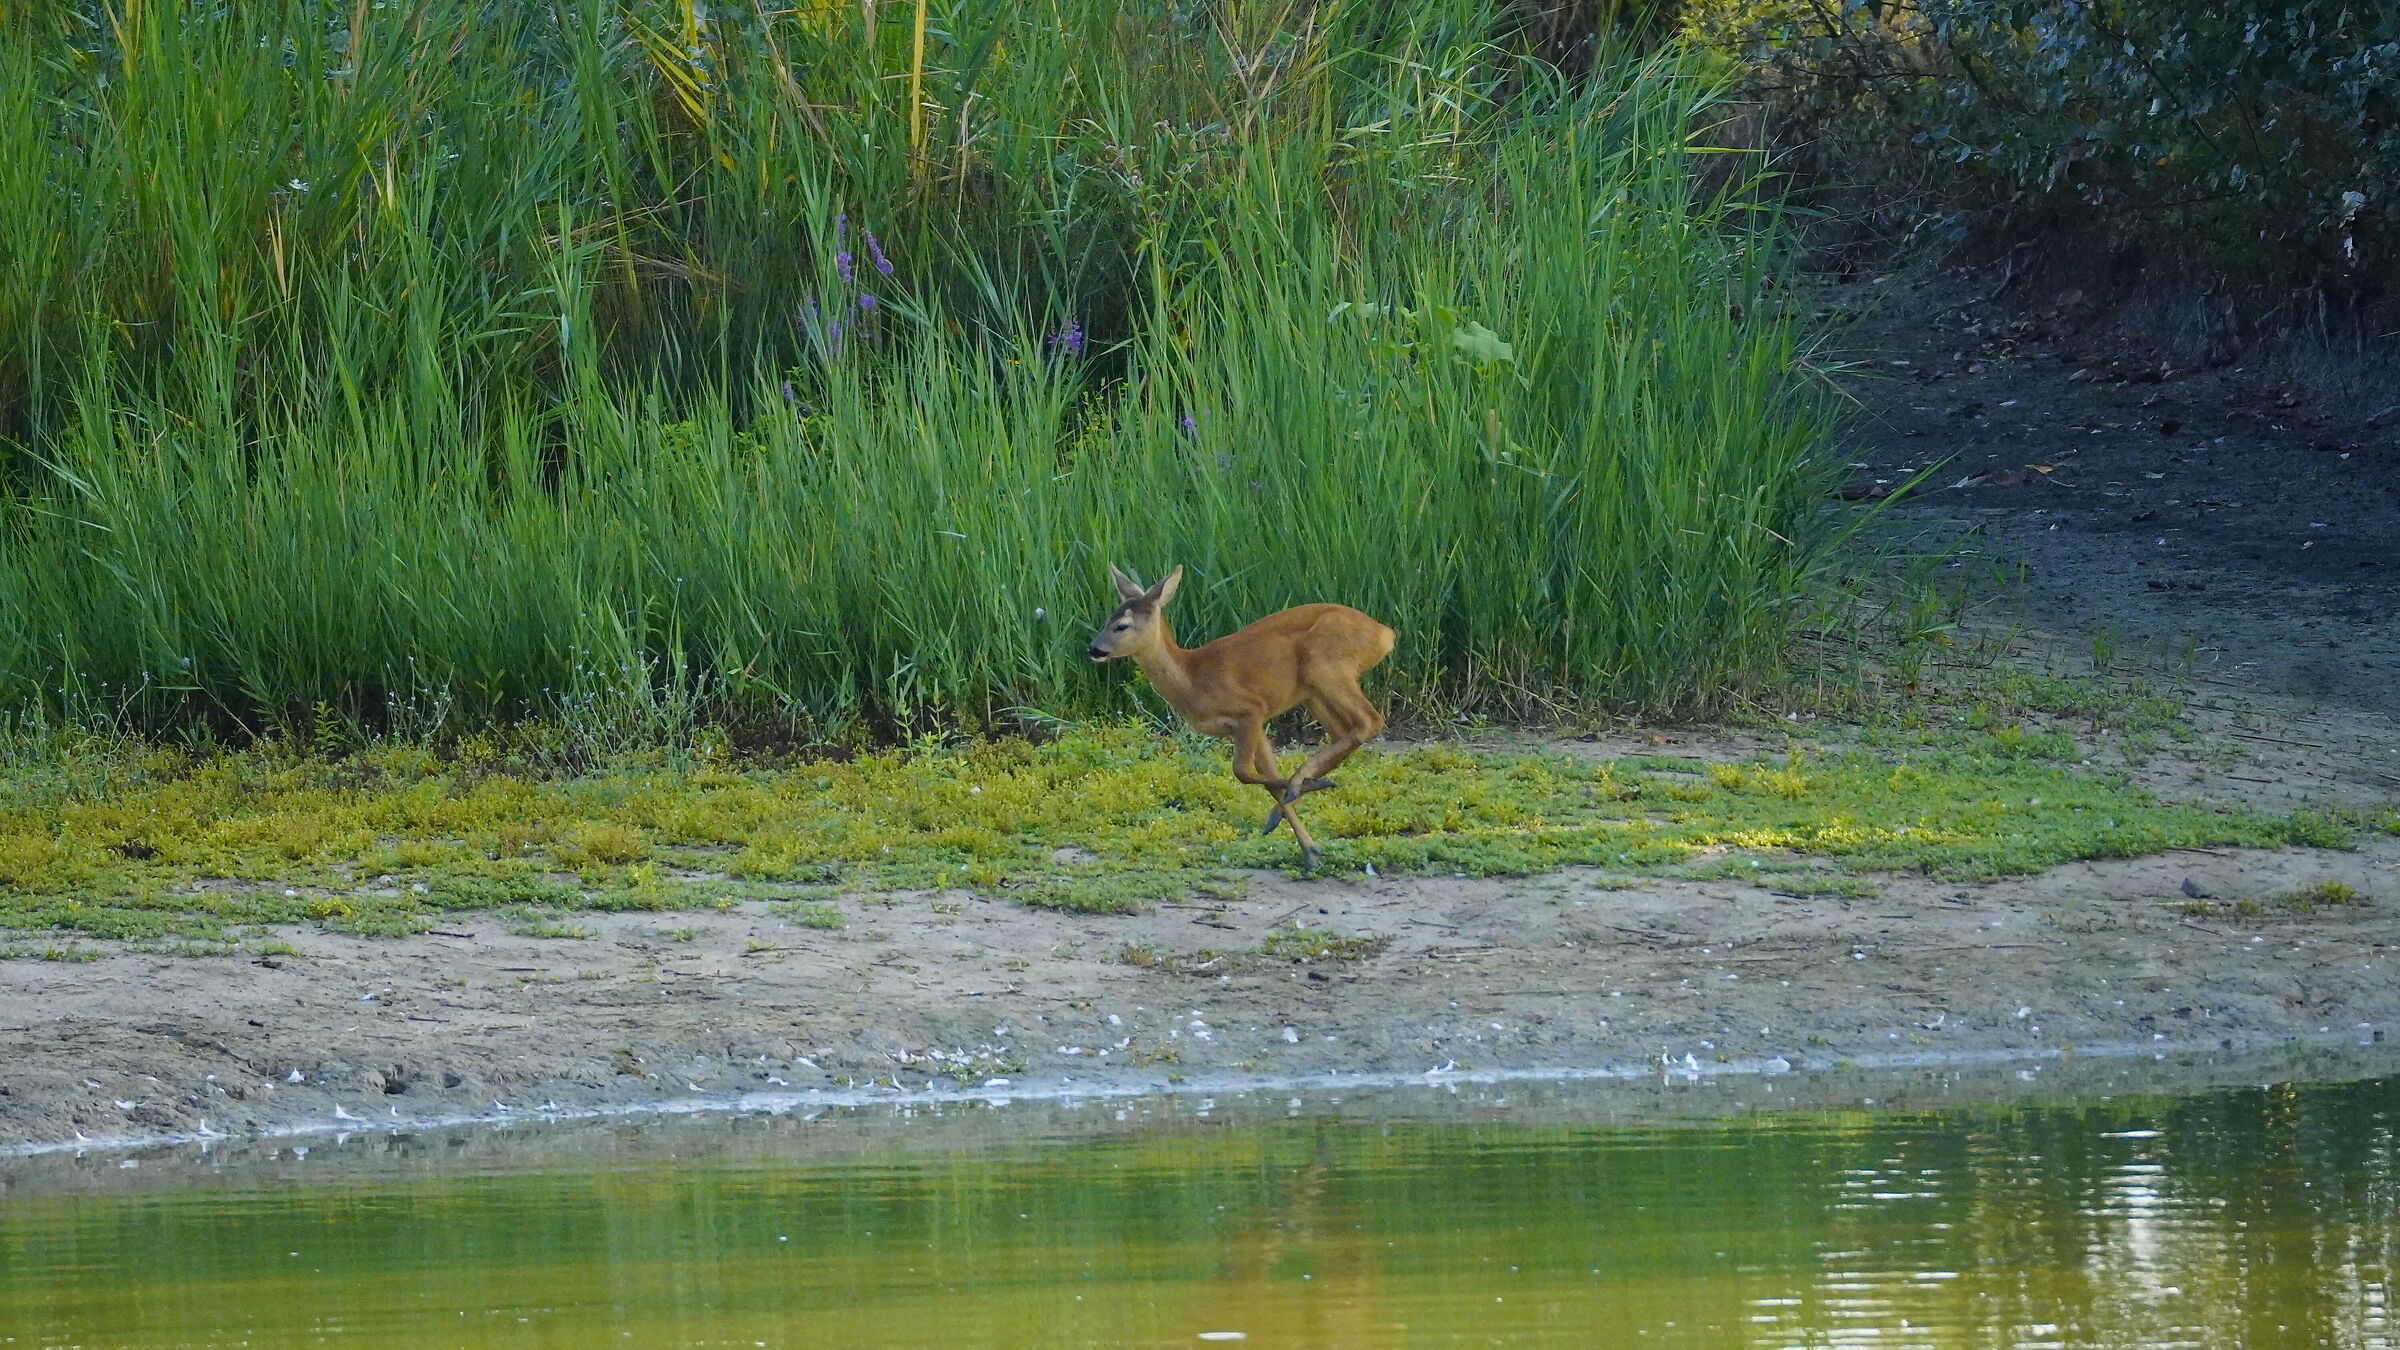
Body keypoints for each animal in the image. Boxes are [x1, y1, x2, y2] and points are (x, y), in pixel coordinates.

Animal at [1087, 563, 1394, 871]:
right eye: (1107, 620)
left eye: (1121, 625)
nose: (1093, 649)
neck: (1192, 679)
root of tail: (1384, 634)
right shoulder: (1252, 725)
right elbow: (1268, 776)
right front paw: (1307, 849)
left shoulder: (1251, 710)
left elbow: (1243, 772)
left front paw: (1304, 796)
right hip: (1311, 690)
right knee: (1344, 732)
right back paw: (1301, 787)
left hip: (1326, 665)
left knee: (1369, 721)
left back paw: (1304, 780)